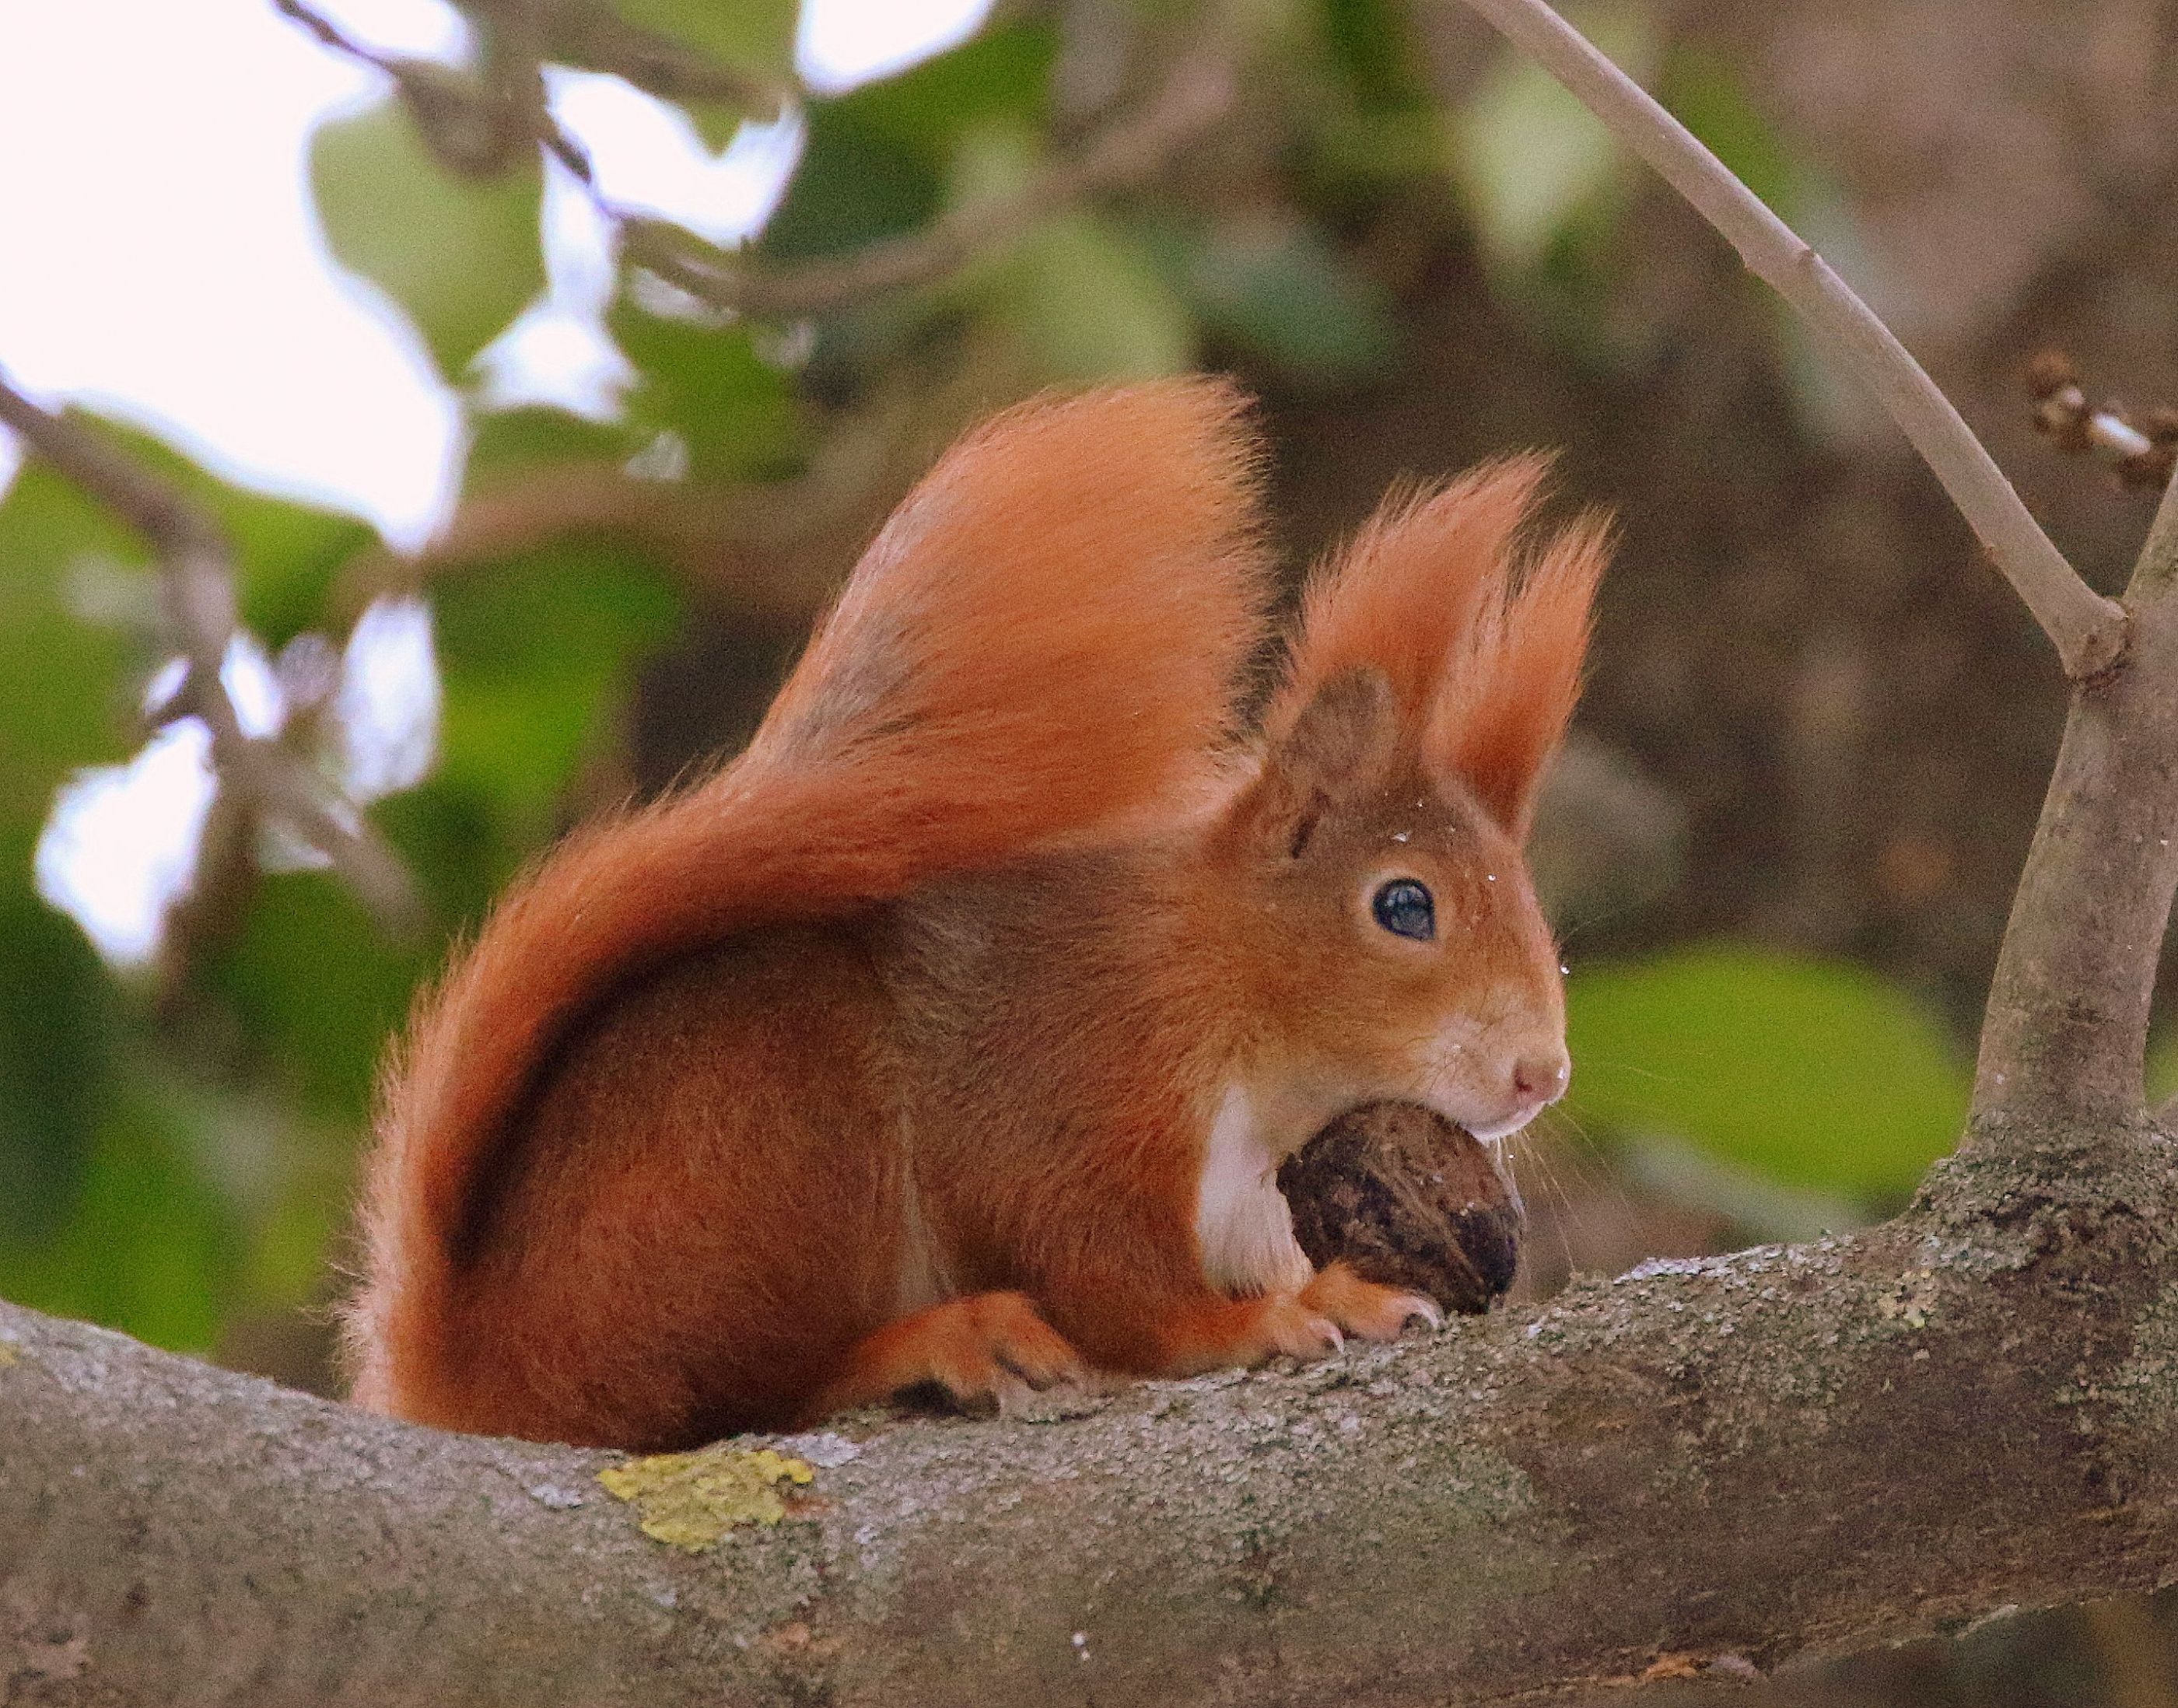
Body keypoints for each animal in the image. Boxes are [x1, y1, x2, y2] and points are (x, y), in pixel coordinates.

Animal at [339, 376, 1602, 1437]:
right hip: (779, 1125)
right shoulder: (1071, 1076)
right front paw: (1280, 1317)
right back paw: (941, 1341)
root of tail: (479, 1374)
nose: (1541, 1076)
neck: (1223, 986)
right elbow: (1106, 1274)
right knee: (722, 1398)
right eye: (1405, 906)